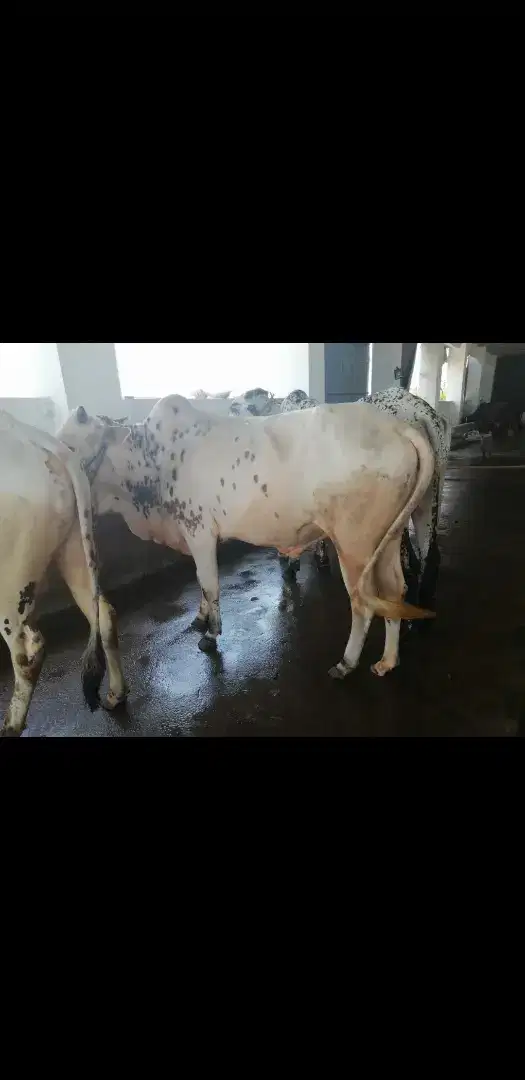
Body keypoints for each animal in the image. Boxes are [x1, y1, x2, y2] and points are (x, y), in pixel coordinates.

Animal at [0, 411, 128, 737]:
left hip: (8, 583)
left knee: (25, 653)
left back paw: (11, 725)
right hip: (75, 552)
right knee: (104, 614)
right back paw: (115, 695)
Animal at [59, 396, 436, 681]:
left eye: (70, 445)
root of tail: (394, 425)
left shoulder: (199, 530)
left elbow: (208, 583)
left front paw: (211, 635)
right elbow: (200, 584)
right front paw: (200, 618)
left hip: (354, 543)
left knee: (362, 602)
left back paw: (347, 662)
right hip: (387, 538)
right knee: (393, 590)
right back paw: (388, 661)